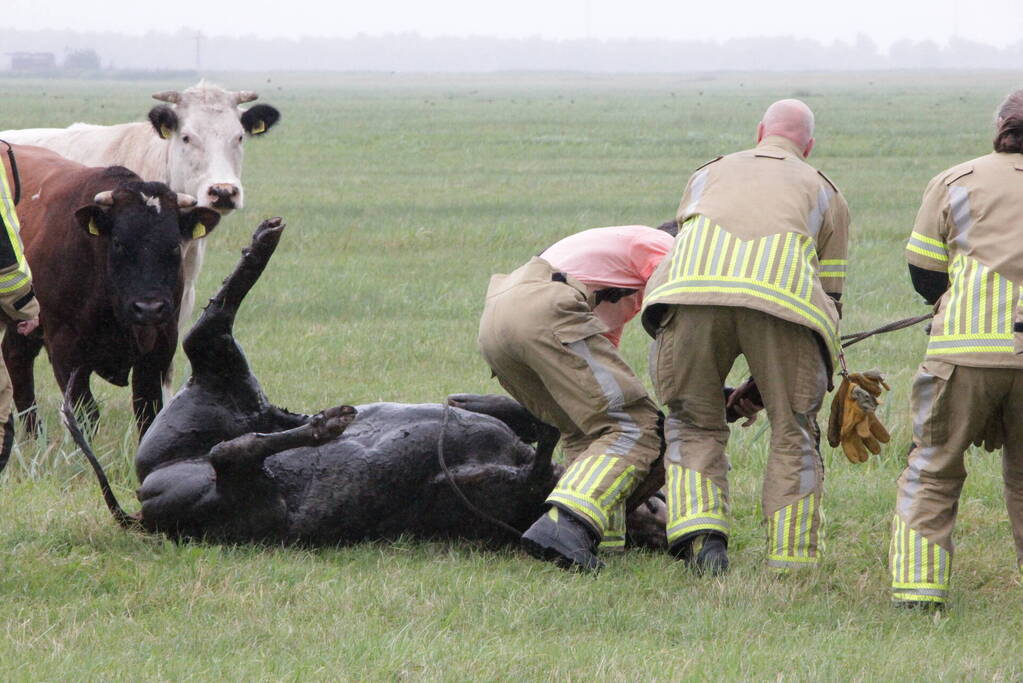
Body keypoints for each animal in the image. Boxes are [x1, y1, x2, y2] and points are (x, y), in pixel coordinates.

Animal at [4, 145, 220, 436]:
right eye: (118, 242)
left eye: (175, 244)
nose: (148, 308)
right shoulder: (64, 346)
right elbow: (85, 414)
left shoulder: (160, 343)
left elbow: (148, 412)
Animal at [65, 218, 668, 550]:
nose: (655, 516)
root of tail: (145, 496)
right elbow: (508, 414)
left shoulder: (497, 490)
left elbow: (538, 460)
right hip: (217, 405)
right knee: (221, 369)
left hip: (238, 482)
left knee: (230, 440)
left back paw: (321, 423)